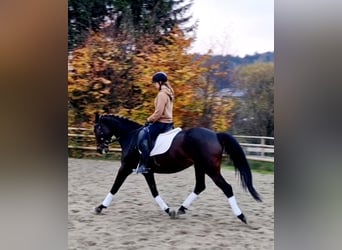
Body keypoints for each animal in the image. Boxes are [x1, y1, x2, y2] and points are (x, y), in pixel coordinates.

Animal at [93, 112, 262, 224]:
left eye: (98, 129)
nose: (101, 150)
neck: (131, 136)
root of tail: (216, 135)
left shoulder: (126, 167)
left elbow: (115, 187)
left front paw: (100, 207)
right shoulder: (147, 172)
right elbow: (154, 191)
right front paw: (169, 211)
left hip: (210, 169)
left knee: (226, 188)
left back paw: (241, 216)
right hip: (200, 166)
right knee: (200, 186)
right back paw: (181, 209)